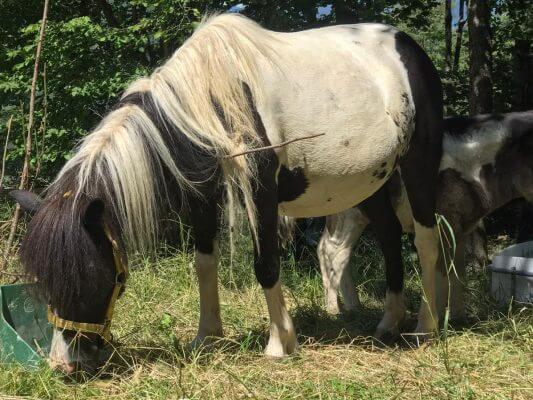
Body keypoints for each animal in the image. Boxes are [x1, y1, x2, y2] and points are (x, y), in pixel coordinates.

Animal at [12, 14, 442, 374]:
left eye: (90, 274)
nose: (64, 364)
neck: (208, 104)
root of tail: (409, 46)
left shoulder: (261, 192)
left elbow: (266, 265)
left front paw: (280, 344)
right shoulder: (202, 198)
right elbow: (204, 264)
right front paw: (207, 337)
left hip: (417, 167)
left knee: (425, 240)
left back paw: (426, 327)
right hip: (372, 180)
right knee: (389, 237)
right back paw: (389, 322)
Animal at [316, 110, 532, 340]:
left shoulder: (461, 227)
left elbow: (458, 271)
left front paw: (458, 319)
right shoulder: (442, 223)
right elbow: (441, 272)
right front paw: (431, 326)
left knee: (332, 250)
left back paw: (351, 308)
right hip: (351, 213)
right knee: (334, 251)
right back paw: (336, 311)